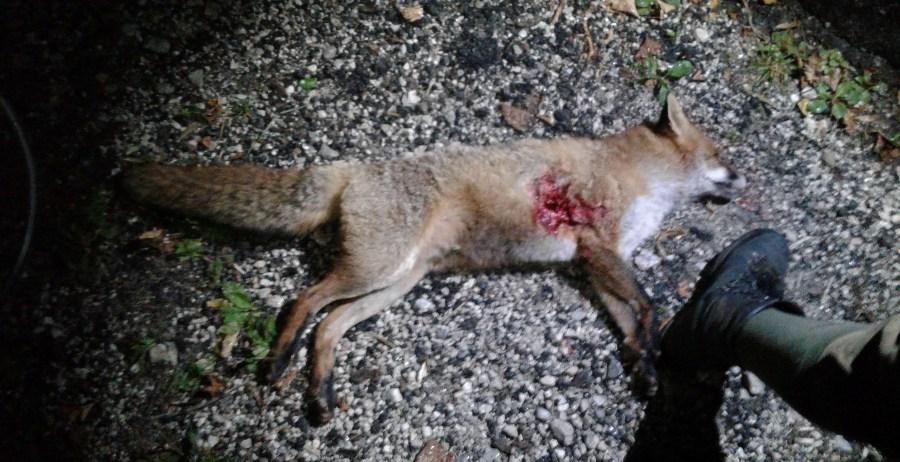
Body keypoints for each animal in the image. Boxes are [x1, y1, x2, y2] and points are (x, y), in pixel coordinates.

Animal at [123, 94, 745, 425]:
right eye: (720, 153)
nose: (743, 179)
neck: (643, 180)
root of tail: (353, 168)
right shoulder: (598, 245)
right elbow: (649, 304)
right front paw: (655, 348)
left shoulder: (595, 263)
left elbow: (629, 320)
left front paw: (644, 367)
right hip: (375, 269)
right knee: (303, 300)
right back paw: (279, 362)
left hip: (395, 283)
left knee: (328, 326)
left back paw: (320, 392)